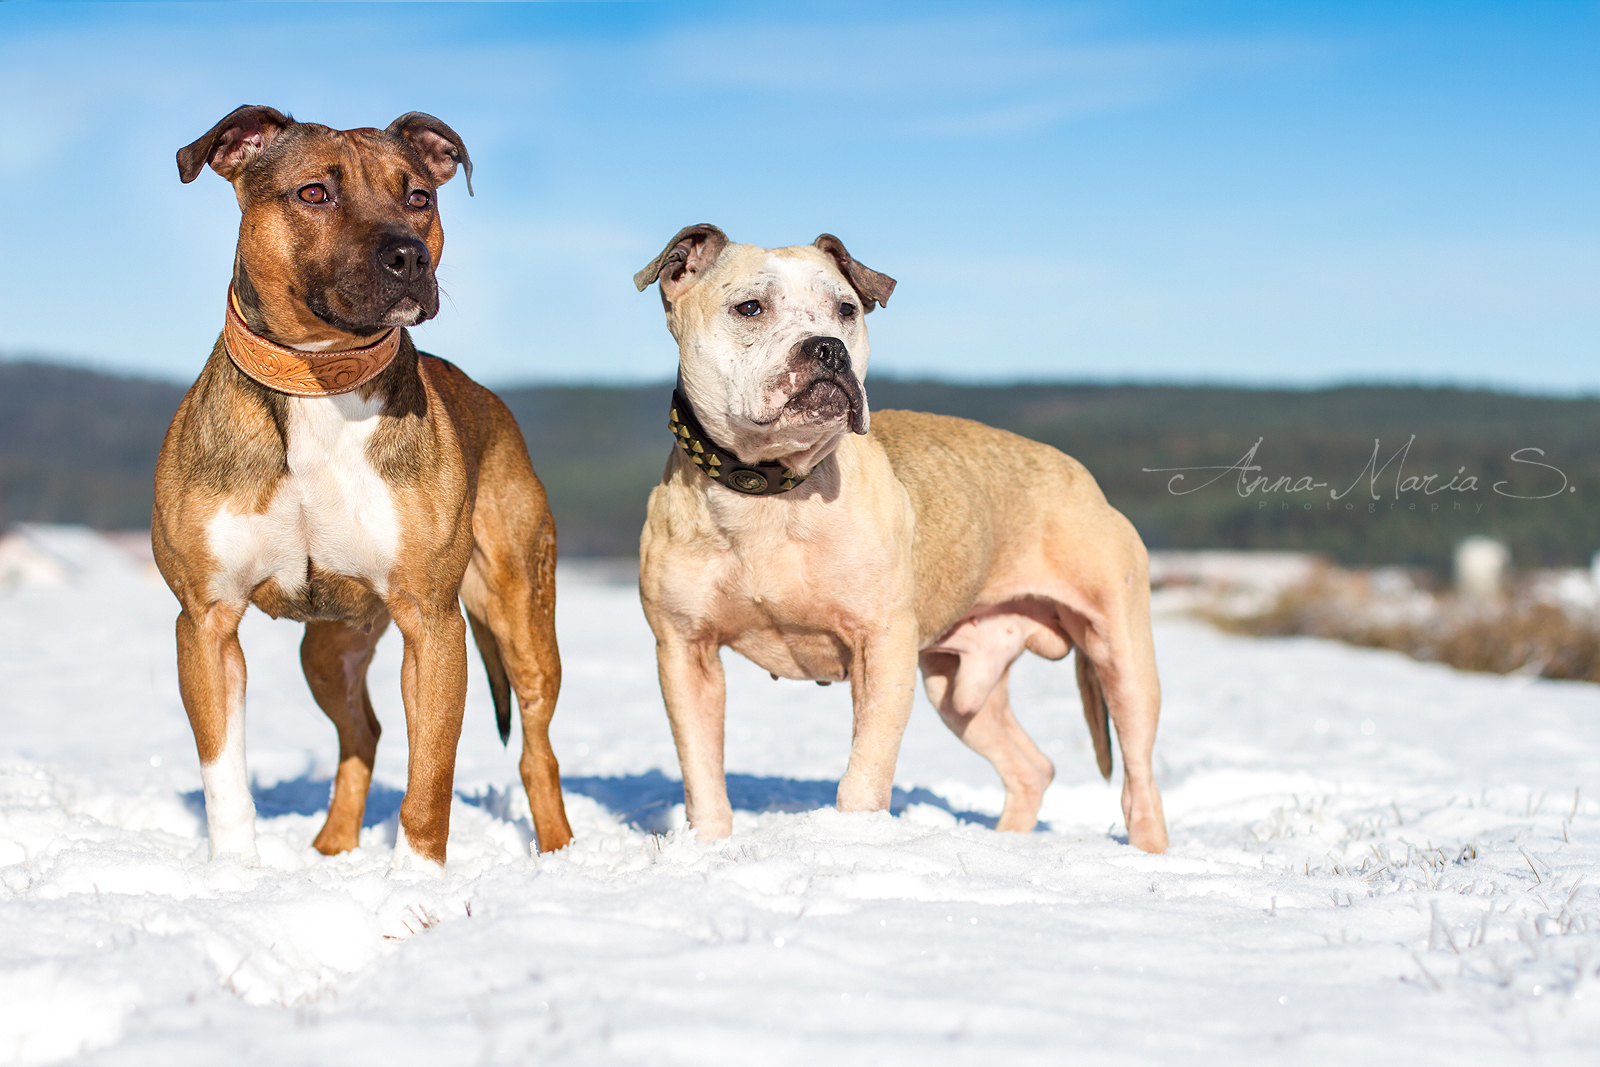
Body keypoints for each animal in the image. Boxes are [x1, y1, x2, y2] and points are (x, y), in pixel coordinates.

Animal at [151, 106, 576, 870]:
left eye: (420, 197)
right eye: (315, 193)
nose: (409, 256)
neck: (319, 378)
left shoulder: (433, 624)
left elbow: (430, 773)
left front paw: (416, 882)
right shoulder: (205, 622)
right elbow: (223, 770)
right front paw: (234, 874)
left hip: (522, 616)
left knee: (537, 746)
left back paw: (558, 853)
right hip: (328, 648)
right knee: (363, 733)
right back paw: (332, 849)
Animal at [630, 223, 1171, 851]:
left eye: (846, 310)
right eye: (749, 308)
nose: (826, 348)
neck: (769, 491)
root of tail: (1081, 475)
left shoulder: (882, 644)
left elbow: (865, 771)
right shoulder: (684, 651)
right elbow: (702, 773)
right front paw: (708, 849)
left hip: (1121, 657)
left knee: (1138, 779)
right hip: (957, 688)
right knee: (1031, 766)